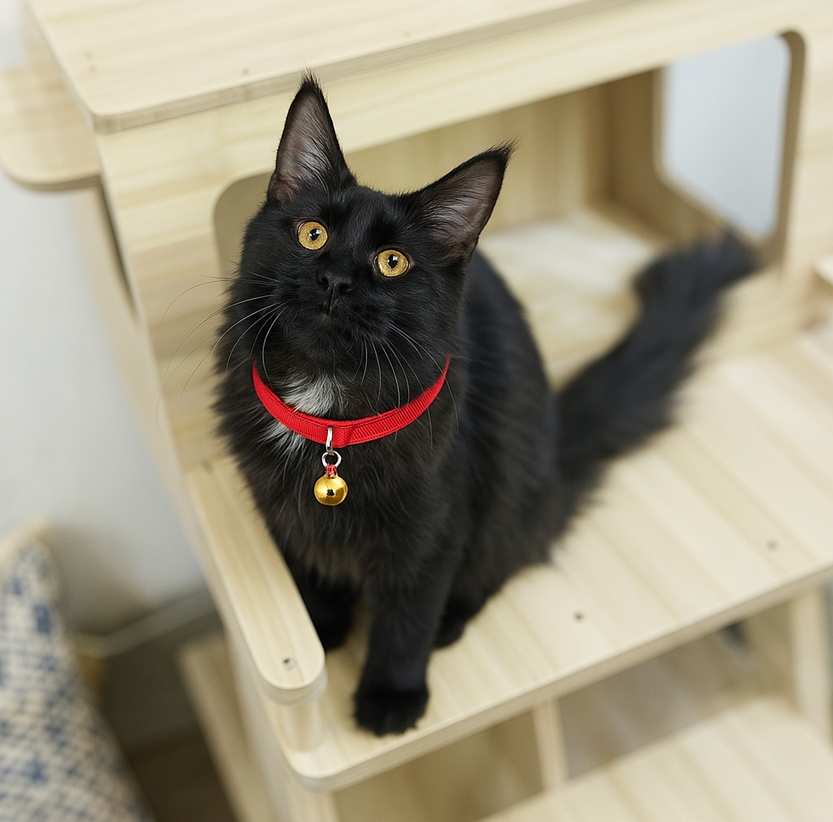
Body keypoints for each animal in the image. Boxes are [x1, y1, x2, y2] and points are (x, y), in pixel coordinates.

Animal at [214, 77, 753, 736]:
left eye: (392, 262)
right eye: (312, 233)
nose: (336, 280)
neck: (329, 421)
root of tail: (555, 453)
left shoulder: (435, 528)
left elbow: (407, 618)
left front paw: (391, 696)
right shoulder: (279, 508)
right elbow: (310, 575)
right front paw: (322, 629)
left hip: (507, 499)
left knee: (499, 564)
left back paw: (452, 620)